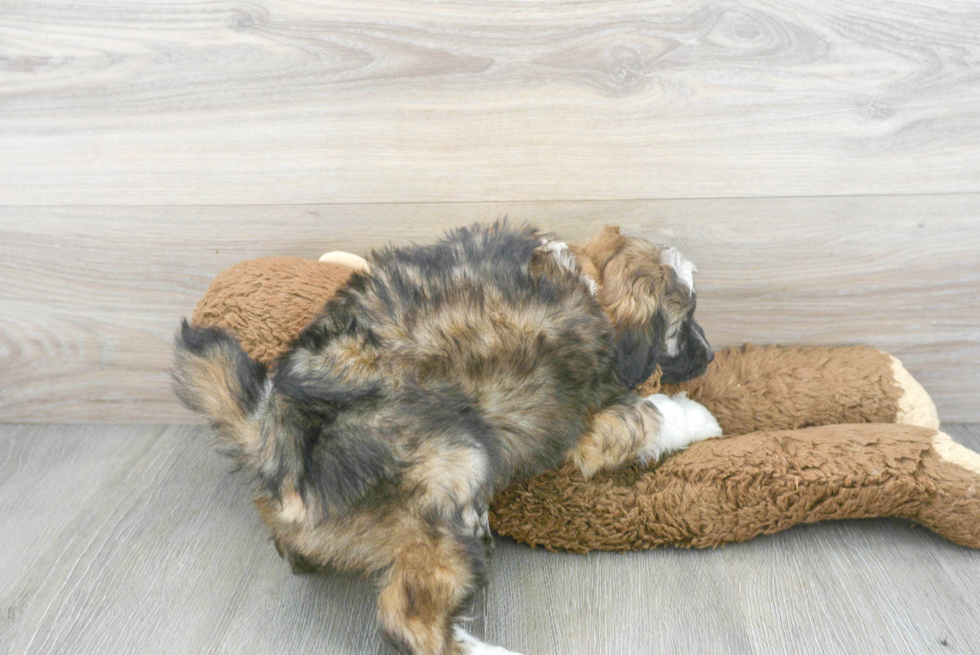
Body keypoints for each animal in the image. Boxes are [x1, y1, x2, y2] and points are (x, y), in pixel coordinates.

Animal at [170, 222, 720, 655]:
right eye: (687, 318)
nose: (712, 355)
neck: (591, 285)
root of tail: (273, 443)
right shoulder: (594, 425)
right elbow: (653, 414)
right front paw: (701, 418)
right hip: (453, 459)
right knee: (409, 621)